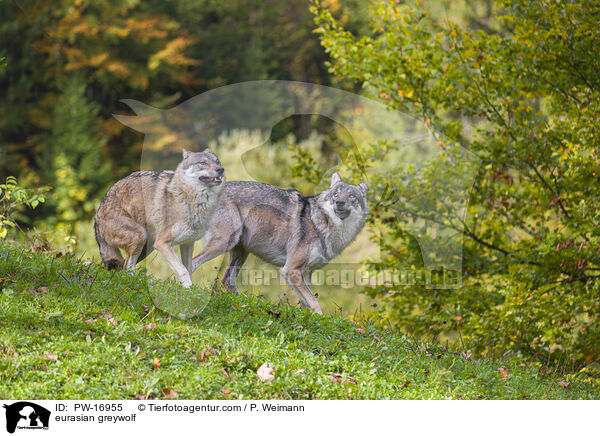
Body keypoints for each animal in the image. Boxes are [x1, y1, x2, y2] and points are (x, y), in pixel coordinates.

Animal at [94, 148, 225, 288]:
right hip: (141, 237)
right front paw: (188, 288)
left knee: (120, 266)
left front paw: (189, 289)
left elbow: (189, 269)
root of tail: (98, 212)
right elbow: (183, 270)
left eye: (217, 162)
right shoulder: (162, 243)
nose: (221, 169)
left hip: (147, 247)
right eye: (203, 163)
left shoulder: (187, 243)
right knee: (127, 266)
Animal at [192, 173, 368, 314]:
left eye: (351, 196)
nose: (339, 203)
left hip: (241, 251)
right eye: (336, 194)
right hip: (224, 243)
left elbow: (307, 302)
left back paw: (244, 306)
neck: (322, 223)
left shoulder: (306, 273)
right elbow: (315, 303)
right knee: (194, 263)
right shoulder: (291, 270)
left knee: (227, 280)